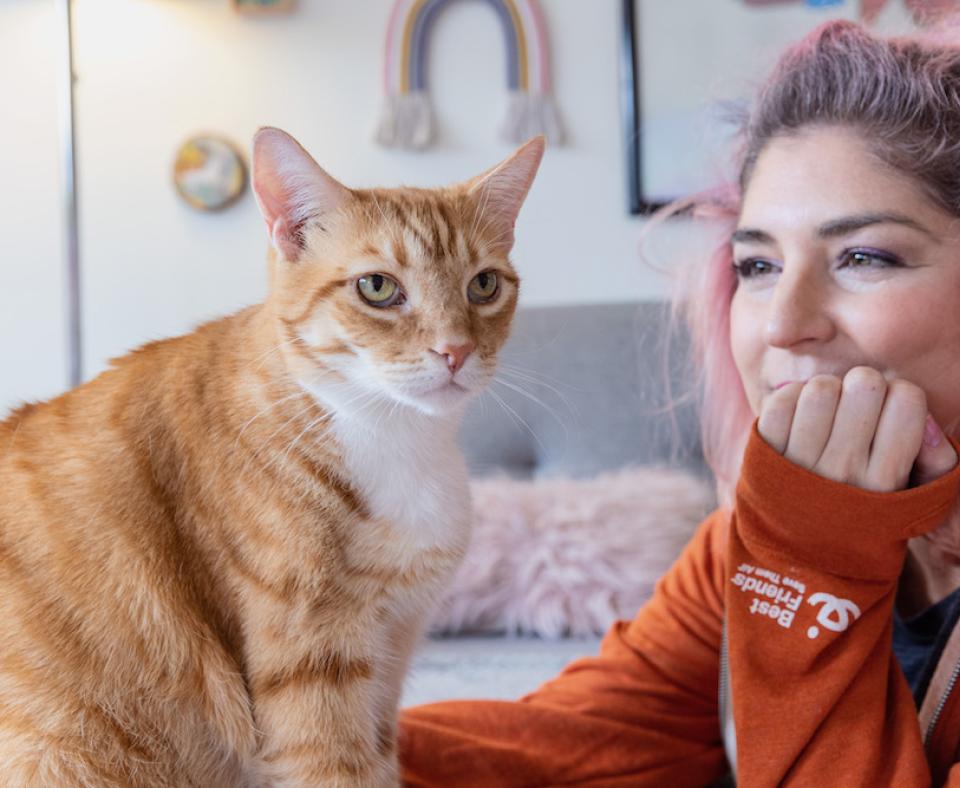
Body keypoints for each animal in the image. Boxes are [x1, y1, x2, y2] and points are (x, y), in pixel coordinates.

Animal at [0, 126, 540, 784]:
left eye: (483, 285)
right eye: (378, 288)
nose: (455, 350)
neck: (395, 437)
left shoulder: (391, 657)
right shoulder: (312, 667)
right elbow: (336, 768)